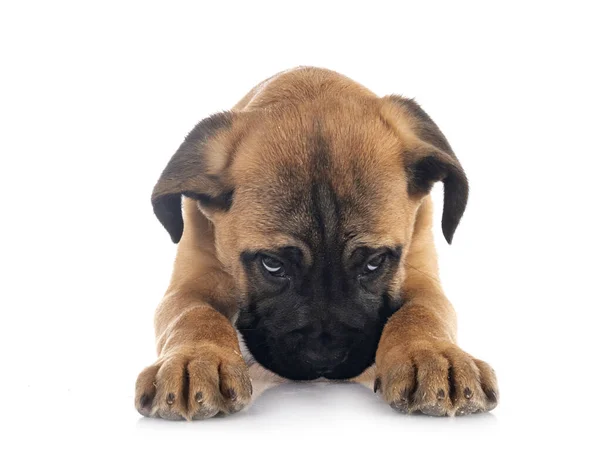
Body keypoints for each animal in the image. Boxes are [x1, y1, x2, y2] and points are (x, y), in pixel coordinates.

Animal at [135, 67, 496, 420]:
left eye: (374, 262)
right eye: (272, 264)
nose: (325, 359)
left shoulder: (421, 274)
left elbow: (423, 311)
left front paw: (433, 355)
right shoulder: (190, 282)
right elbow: (192, 314)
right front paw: (195, 359)